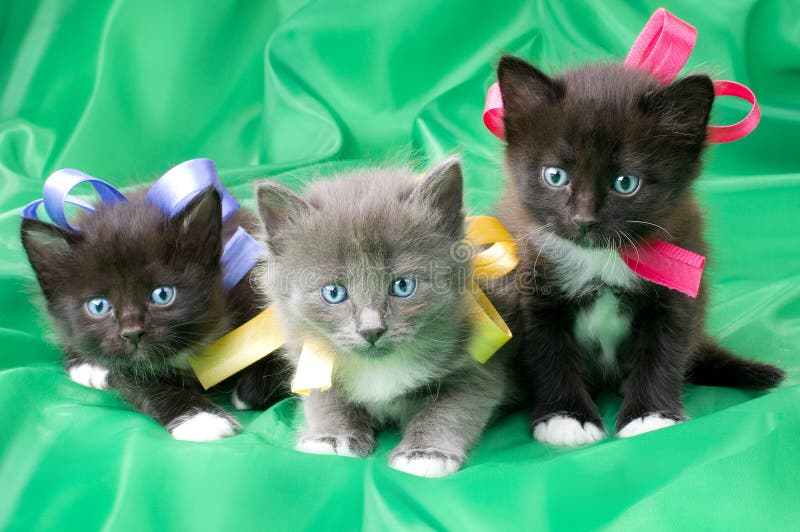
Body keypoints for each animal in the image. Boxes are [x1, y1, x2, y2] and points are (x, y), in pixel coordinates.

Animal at [20, 160, 290, 442]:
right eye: (99, 306)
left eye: (162, 294)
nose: (132, 333)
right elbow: (139, 381)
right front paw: (201, 419)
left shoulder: (255, 281)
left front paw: (252, 389)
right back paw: (86, 366)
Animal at [253, 158, 510, 478]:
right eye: (334, 292)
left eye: (402, 286)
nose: (371, 330)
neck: (378, 368)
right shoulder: (309, 357)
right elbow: (325, 400)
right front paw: (332, 437)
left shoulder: (479, 369)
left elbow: (449, 411)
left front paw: (424, 453)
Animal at [496, 55, 784, 444]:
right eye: (555, 176)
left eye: (625, 183)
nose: (584, 220)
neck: (601, 259)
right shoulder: (533, 288)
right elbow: (547, 354)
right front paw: (566, 418)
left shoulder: (679, 290)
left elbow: (664, 354)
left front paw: (650, 416)